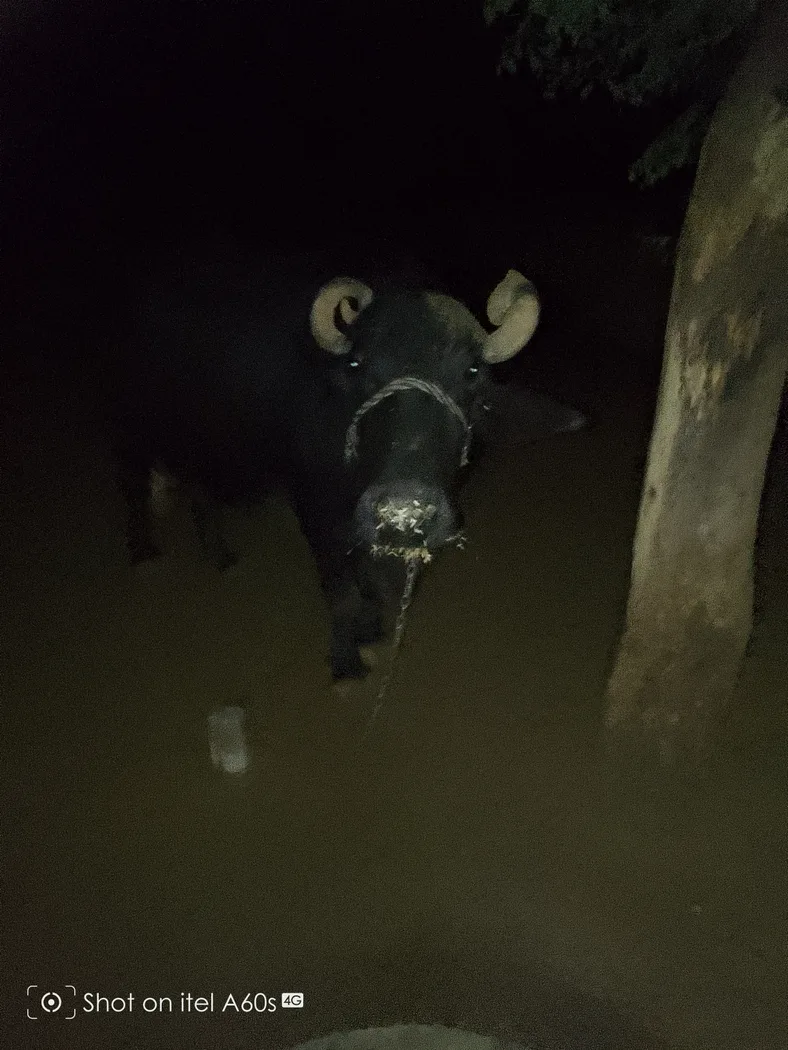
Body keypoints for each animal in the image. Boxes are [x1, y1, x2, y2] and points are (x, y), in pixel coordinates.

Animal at [111, 248, 585, 678]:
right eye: (357, 364)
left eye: (472, 372)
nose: (403, 511)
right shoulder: (316, 510)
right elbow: (340, 591)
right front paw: (346, 661)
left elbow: (371, 581)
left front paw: (370, 627)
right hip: (133, 425)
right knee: (133, 479)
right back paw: (144, 551)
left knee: (200, 488)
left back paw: (220, 554)